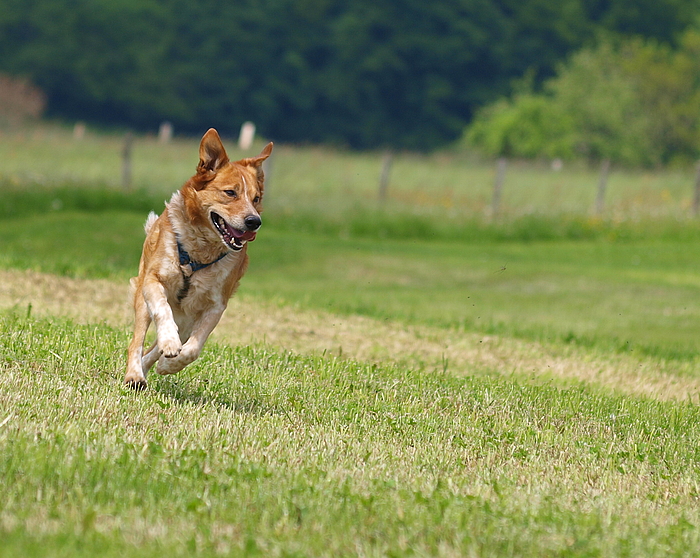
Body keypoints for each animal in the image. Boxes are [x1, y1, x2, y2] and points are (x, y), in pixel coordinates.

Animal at [123, 128, 270, 390]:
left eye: (256, 198)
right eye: (230, 192)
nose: (254, 221)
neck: (200, 252)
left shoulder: (215, 305)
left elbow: (193, 349)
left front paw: (169, 364)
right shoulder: (153, 280)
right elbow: (162, 312)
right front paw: (169, 343)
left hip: (188, 318)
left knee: (155, 348)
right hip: (143, 299)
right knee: (138, 340)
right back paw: (135, 375)